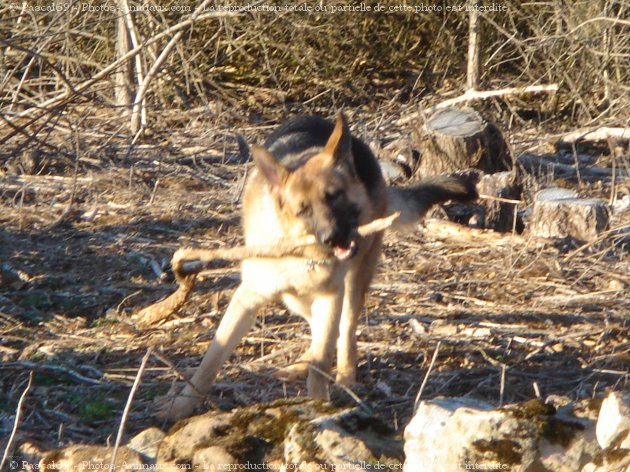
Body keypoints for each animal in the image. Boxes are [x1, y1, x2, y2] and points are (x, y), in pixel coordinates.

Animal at [164, 113, 478, 420]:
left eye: (334, 195)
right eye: (302, 209)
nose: (333, 237)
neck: (301, 251)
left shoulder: (330, 295)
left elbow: (324, 359)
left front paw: (319, 407)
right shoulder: (248, 298)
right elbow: (211, 359)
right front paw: (181, 406)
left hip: (351, 285)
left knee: (344, 332)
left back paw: (345, 377)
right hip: (295, 299)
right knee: (320, 328)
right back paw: (302, 363)